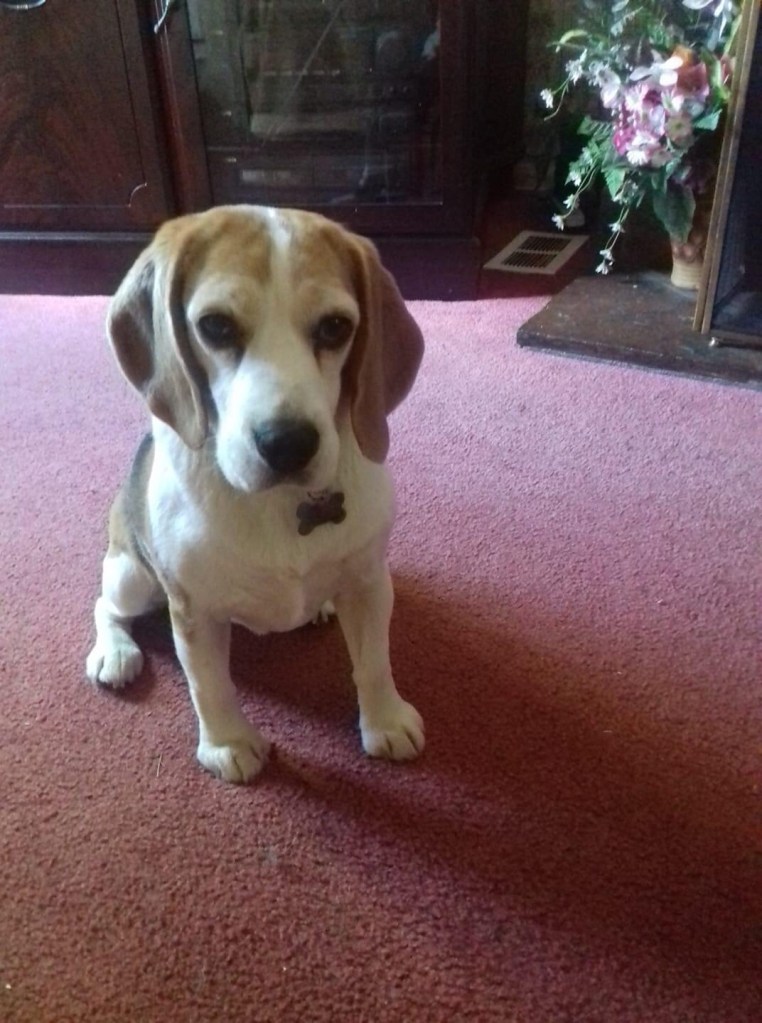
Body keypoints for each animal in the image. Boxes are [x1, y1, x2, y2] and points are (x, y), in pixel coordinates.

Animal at [85, 205, 425, 783]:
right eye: (216, 326)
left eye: (336, 327)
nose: (287, 443)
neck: (280, 506)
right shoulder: (193, 609)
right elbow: (209, 684)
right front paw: (228, 744)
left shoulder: (369, 581)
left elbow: (375, 661)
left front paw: (385, 720)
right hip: (132, 576)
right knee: (104, 605)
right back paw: (115, 652)